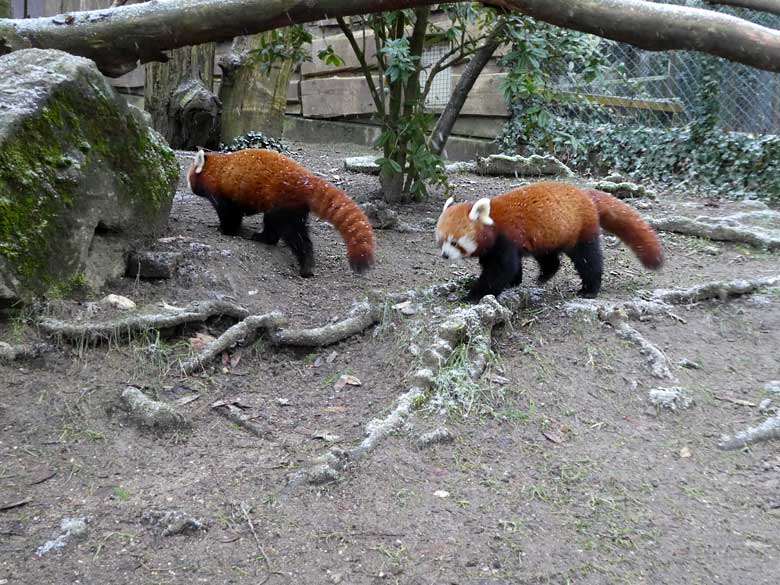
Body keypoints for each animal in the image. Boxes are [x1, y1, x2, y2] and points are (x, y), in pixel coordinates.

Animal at [187, 149, 374, 278]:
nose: (189, 186)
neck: (215, 167)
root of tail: (305, 179)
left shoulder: (223, 195)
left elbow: (230, 216)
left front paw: (225, 230)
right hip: (292, 207)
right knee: (294, 232)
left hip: (282, 203)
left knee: (288, 232)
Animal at [436, 180, 660, 298]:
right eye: (441, 241)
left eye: (455, 242)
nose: (445, 255)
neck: (493, 223)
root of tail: (585, 194)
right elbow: (510, 266)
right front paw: (514, 282)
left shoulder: (506, 239)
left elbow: (501, 269)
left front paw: (472, 296)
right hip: (548, 235)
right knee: (550, 259)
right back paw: (544, 276)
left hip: (581, 231)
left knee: (588, 260)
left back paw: (589, 289)